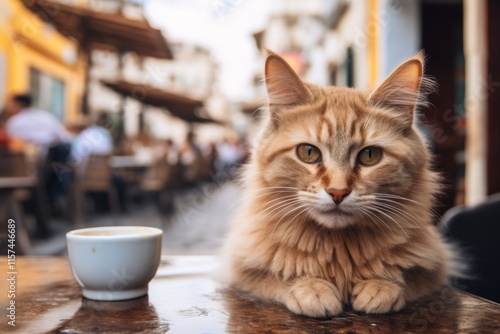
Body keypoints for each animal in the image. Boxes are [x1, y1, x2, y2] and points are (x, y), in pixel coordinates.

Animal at [221, 51, 458, 318]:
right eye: (308, 153)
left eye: (369, 156)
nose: (337, 192)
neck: (338, 248)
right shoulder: (238, 268)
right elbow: (278, 275)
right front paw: (312, 288)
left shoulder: (436, 267)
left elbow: (405, 278)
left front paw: (379, 286)